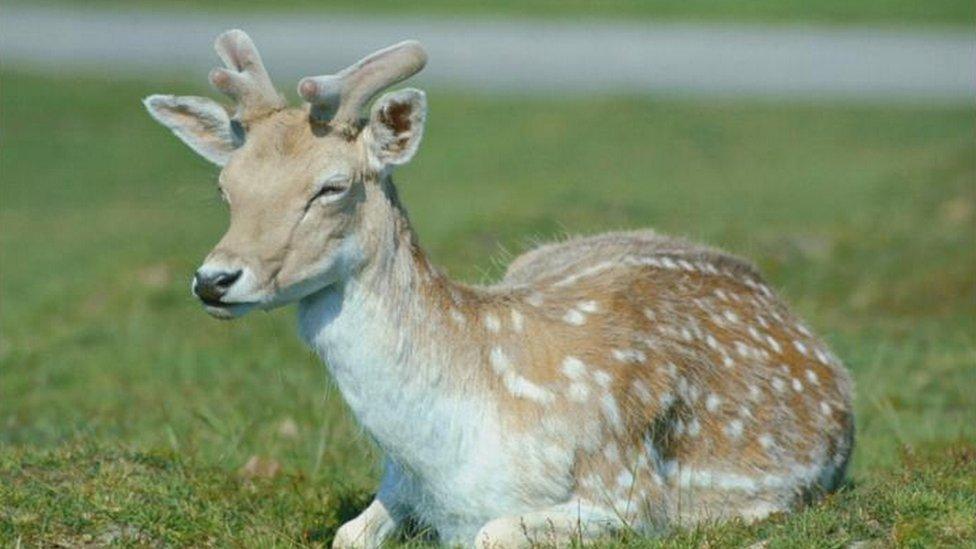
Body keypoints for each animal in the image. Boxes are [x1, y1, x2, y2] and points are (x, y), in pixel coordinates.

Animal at [145, 31, 856, 548]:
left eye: (332, 186)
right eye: (225, 186)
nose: (214, 279)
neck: (452, 453)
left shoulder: (628, 495)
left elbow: (494, 533)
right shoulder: (397, 478)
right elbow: (347, 535)